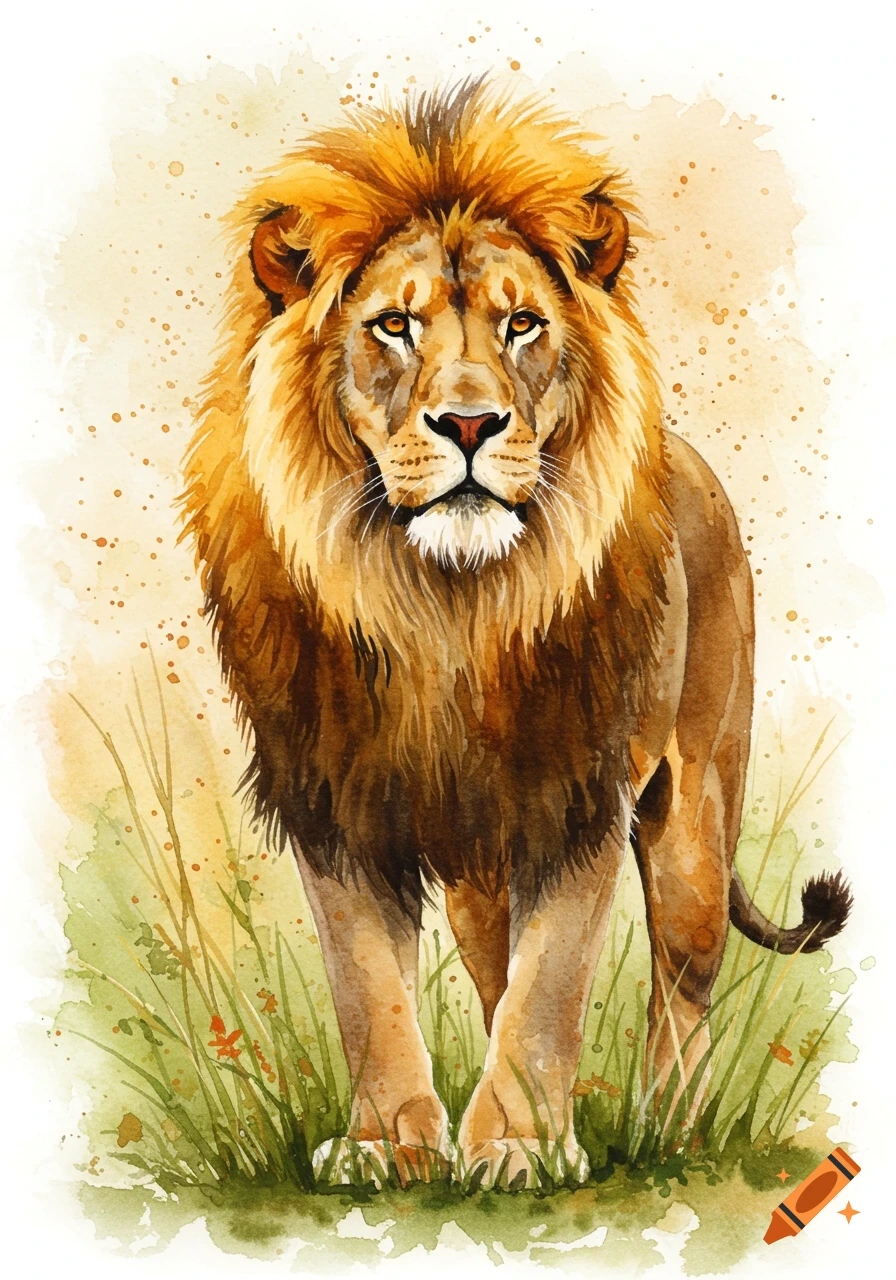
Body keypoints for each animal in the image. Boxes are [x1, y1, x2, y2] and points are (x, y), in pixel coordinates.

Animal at [182, 80, 851, 1187]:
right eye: (393, 325)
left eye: (523, 323)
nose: (468, 425)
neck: (447, 607)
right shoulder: (338, 798)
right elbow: (370, 989)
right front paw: (389, 1143)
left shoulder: (577, 795)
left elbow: (553, 983)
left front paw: (522, 1149)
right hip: (475, 870)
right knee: (495, 971)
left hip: (693, 816)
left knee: (682, 985)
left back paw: (667, 1131)